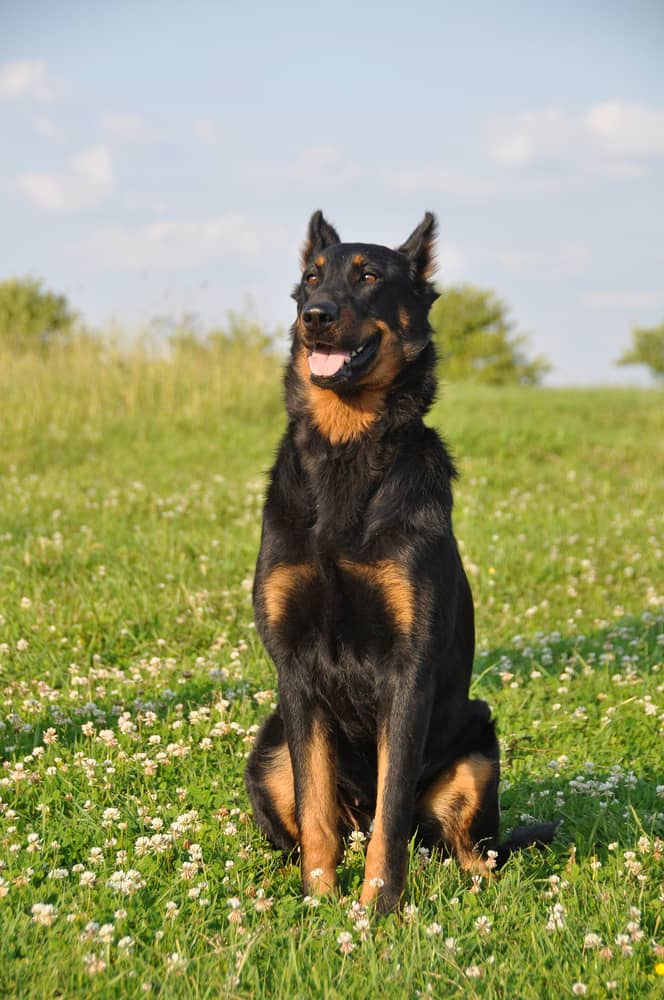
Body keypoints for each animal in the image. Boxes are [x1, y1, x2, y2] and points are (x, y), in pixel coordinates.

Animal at [244, 211, 556, 916]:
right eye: (311, 279)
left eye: (369, 278)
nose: (315, 316)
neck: (346, 448)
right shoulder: (295, 673)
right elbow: (316, 812)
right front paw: (321, 901)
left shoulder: (407, 673)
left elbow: (390, 815)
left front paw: (378, 908)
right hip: (269, 748)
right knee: (319, 821)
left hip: (476, 745)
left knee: (464, 849)